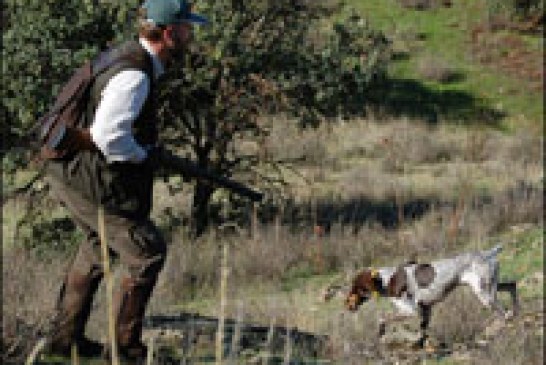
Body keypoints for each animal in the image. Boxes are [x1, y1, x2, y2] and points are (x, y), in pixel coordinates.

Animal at [328, 245, 516, 346]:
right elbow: (423, 331)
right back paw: (516, 311)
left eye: (357, 289)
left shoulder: (412, 311)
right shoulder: (426, 310)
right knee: (512, 286)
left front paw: (381, 332)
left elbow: (382, 318)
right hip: (490, 287)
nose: (346, 304)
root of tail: (488, 253)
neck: (388, 280)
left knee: (504, 314)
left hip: (484, 293)